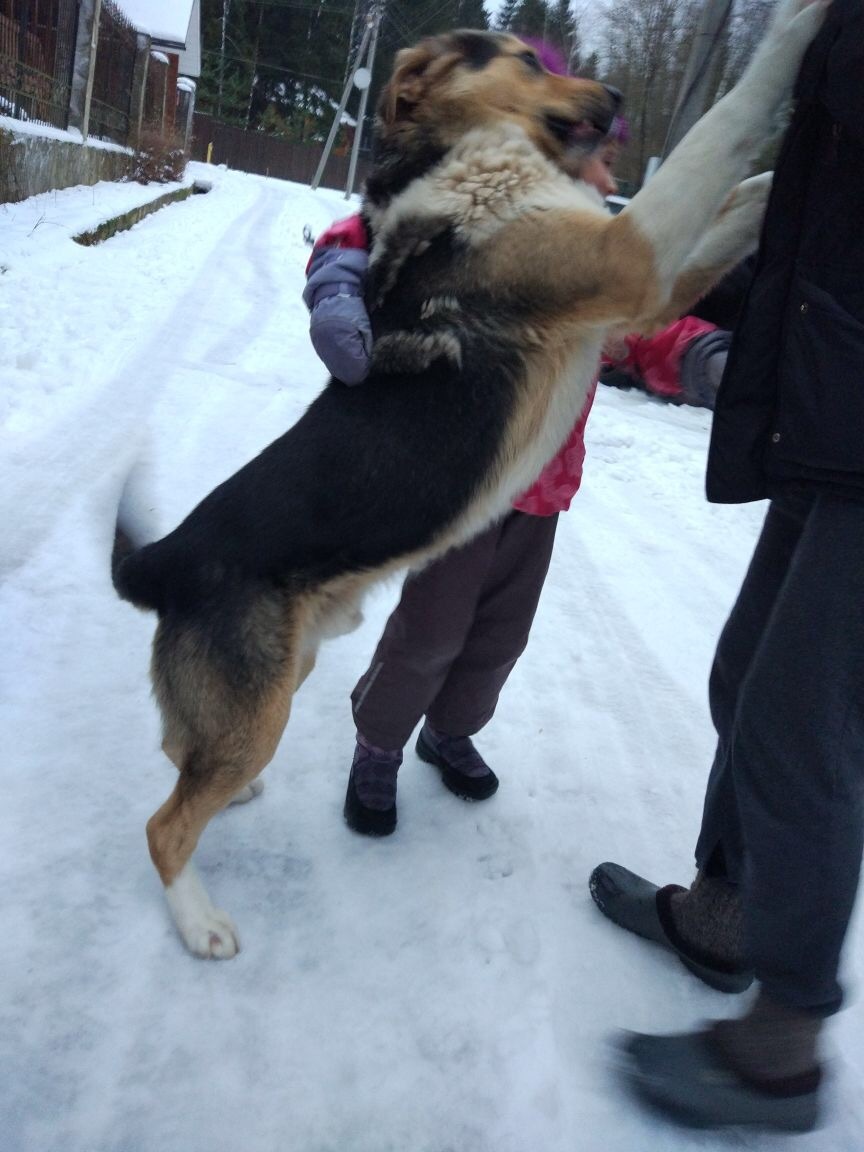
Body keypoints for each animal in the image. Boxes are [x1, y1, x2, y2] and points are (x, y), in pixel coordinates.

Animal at [115, 0, 834, 953]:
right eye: (528, 60)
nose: (614, 99)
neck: (465, 157)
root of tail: (165, 559)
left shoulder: (641, 294)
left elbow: (740, 191)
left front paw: (784, 170)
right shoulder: (629, 254)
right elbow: (724, 128)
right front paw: (796, 32)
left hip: (279, 679)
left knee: (182, 759)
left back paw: (231, 801)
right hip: (261, 706)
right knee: (164, 824)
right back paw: (199, 923)